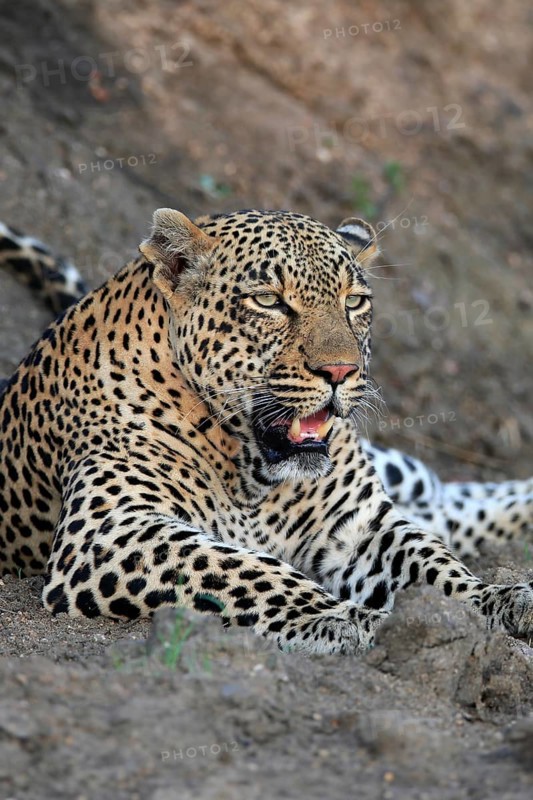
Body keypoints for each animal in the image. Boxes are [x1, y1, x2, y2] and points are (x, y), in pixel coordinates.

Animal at [0, 209, 532, 655]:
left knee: (449, 505)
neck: (252, 470)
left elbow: (432, 562)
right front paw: (342, 619)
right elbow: (247, 568)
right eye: (269, 301)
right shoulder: (109, 532)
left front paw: (494, 601)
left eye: (354, 302)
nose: (341, 371)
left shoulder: (359, 525)